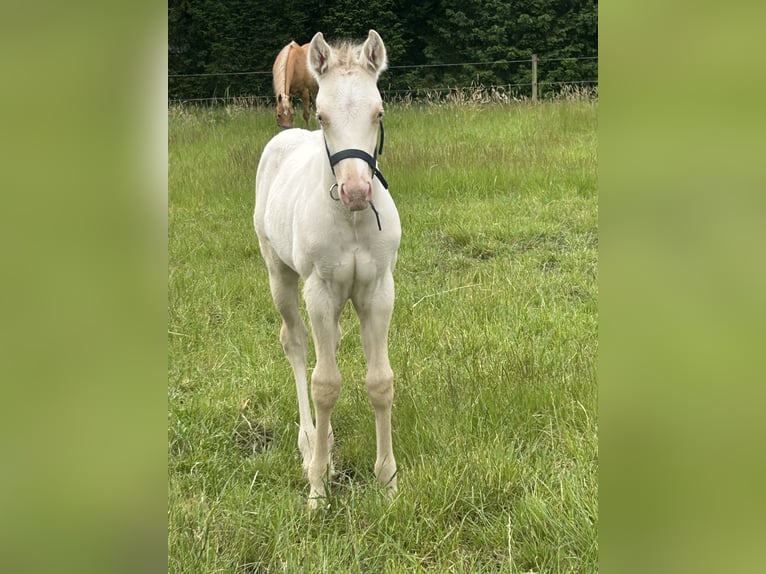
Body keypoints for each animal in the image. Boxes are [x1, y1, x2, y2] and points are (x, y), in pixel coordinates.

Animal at [255, 30, 399, 508]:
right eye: (323, 115)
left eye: (378, 111)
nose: (356, 191)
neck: (351, 220)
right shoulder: (318, 289)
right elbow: (324, 385)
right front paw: (318, 486)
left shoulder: (378, 289)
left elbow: (379, 381)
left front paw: (387, 479)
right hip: (280, 275)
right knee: (298, 346)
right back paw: (309, 442)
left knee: (329, 344)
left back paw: (327, 438)